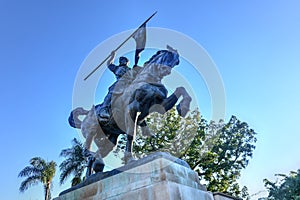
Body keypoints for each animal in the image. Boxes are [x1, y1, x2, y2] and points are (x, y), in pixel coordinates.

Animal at [69, 46, 192, 174]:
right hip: (92, 129)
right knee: (87, 149)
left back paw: (97, 166)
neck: (148, 79)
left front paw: (183, 107)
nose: (166, 70)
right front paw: (130, 159)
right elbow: (130, 134)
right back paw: (92, 155)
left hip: (109, 136)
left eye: (176, 61)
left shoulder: (160, 106)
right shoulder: (132, 108)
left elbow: (181, 89)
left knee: (99, 153)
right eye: (169, 55)